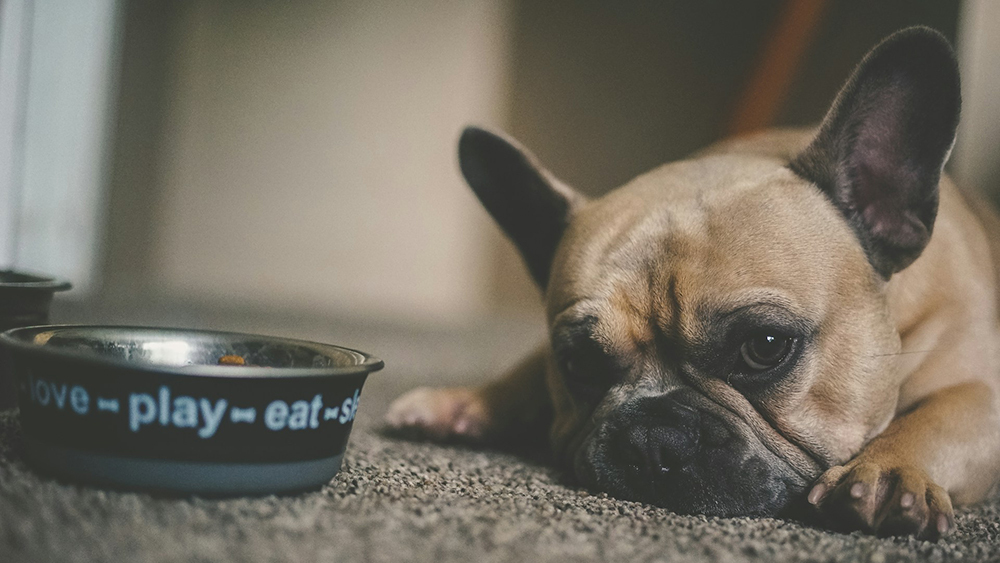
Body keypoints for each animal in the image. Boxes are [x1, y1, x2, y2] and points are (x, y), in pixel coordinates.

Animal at [382, 28, 1000, 540]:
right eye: (578, 362)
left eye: (766, 348)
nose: (653, 439)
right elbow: (528, 367)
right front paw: (467, 400)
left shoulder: (984, 393)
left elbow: (940, 418)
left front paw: (888, 471)